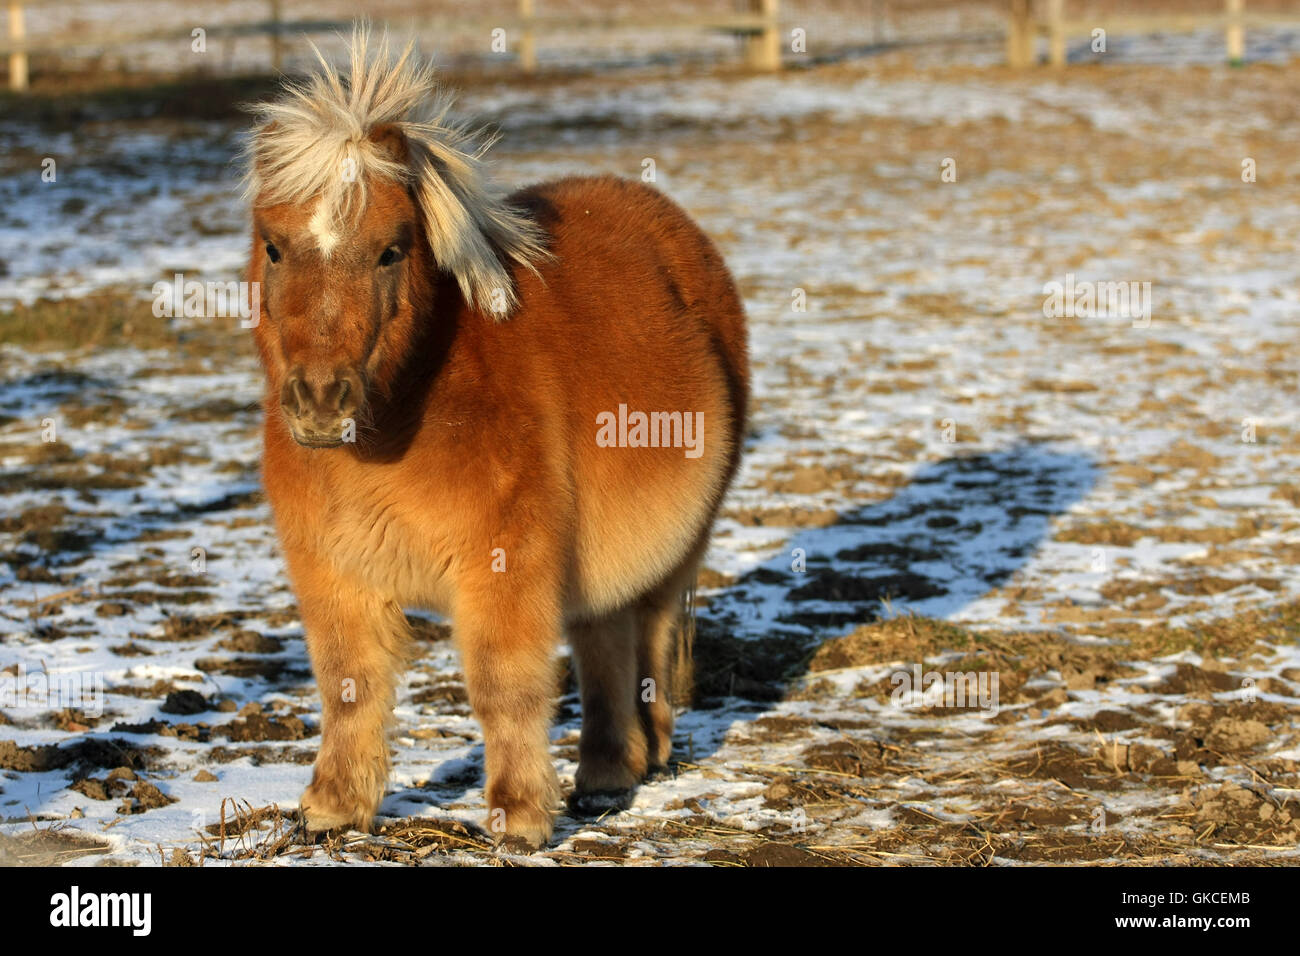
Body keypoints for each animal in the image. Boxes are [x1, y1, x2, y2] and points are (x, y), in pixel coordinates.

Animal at [242, 27, 749, 847]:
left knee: (647, 633)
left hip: (678, 548)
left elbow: (503, 687)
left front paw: (517, 818)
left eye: (391, 249)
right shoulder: (335, 573)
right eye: (274, 246)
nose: (321, 402)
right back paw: (607, 774)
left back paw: (634, 760)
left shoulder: (503, 567)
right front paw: (332, 807)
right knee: (603, 639)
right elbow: (350, 684)